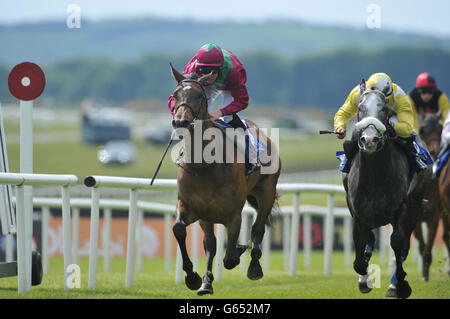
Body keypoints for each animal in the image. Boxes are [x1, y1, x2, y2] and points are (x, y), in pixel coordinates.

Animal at [170, 65, 282, 298]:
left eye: (199, 95)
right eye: (175, 94)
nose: (180, 121)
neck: (204, 167)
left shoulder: (233, 214)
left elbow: (230, 257)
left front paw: (239, 251)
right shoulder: (194, 210)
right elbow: (186, 233)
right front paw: (196, 279)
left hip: (267, 192)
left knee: (258, 229)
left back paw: (254, 267)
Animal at [344, 79, 428, 298]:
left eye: (384, 109)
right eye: (360, 107)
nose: (370, 139)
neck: (375, 174)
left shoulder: (402, 209)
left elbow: (398, 243)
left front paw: (401, 285)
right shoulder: (359, 214)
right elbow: (359, 258)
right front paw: (364, 280)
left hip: (416, 204)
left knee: (404, 244)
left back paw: (394, 284)